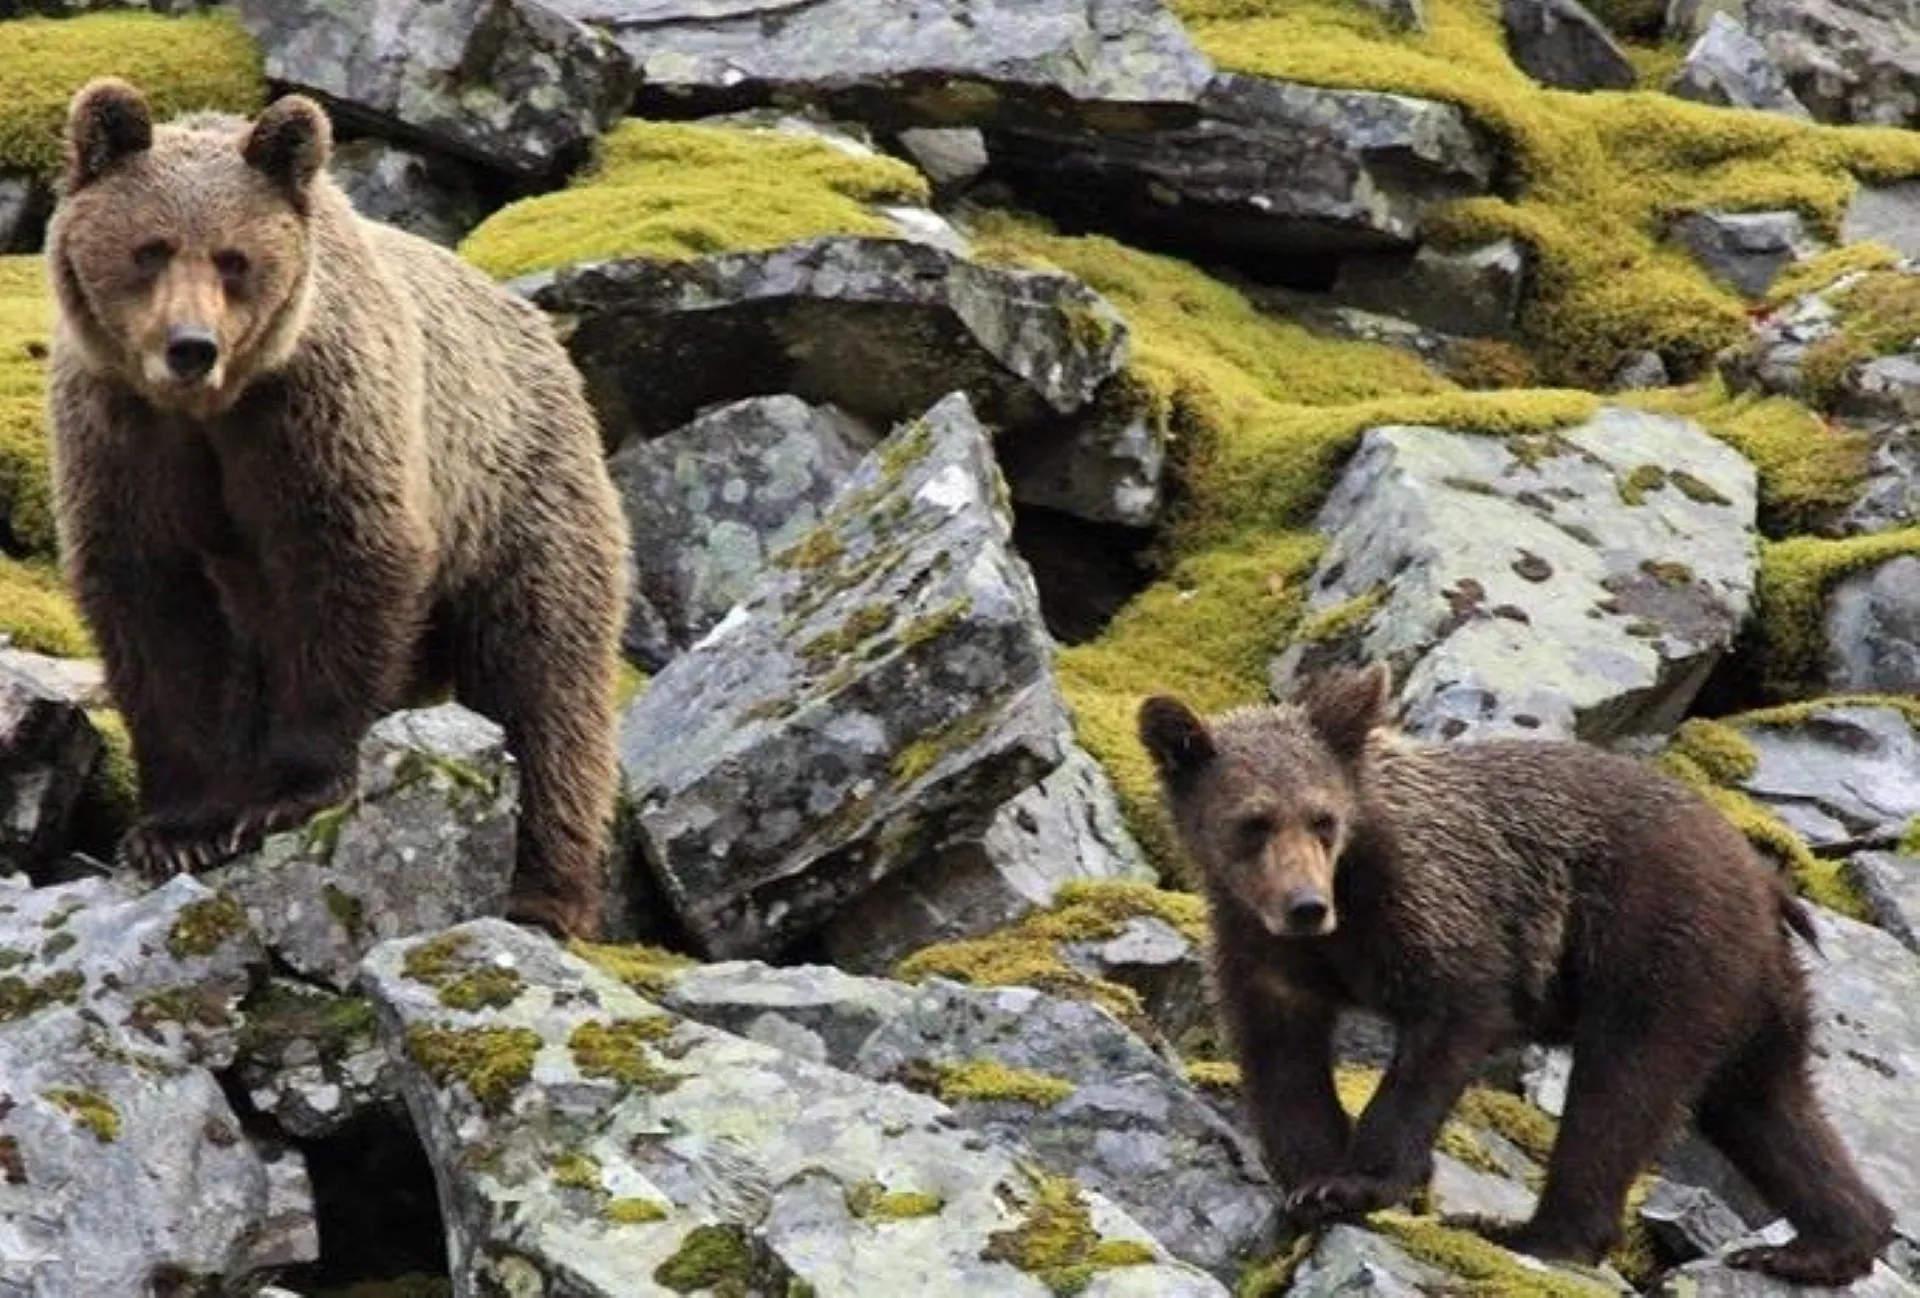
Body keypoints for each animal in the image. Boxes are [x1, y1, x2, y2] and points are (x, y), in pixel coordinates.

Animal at [43, 78, 632, 941]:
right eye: (150, 248)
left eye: (234, 258)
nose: (191, 346)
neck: (210, 412)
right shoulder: (123, 440)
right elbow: (154, 611)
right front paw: (179, 827)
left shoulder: (316, 418)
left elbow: (345, 569)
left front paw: (288, 794)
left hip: (521, 500)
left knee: (543, 685)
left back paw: (543, 893)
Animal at [1138, 662, 1894, 1287]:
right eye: (1253, 822)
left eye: (1322, 818)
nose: (1305, 906)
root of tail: (1764, 877)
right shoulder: (1262, 957)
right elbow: (1282, 1063)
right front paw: (1312, 1180)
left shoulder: (1435, 906)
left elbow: (1452, 1019)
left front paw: (1360, 1182)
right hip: (1747, 987)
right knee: (1766, 1103)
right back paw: (1821, 1244)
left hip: (1658, 946)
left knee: (1621, 1090)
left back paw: (1542, 1234)